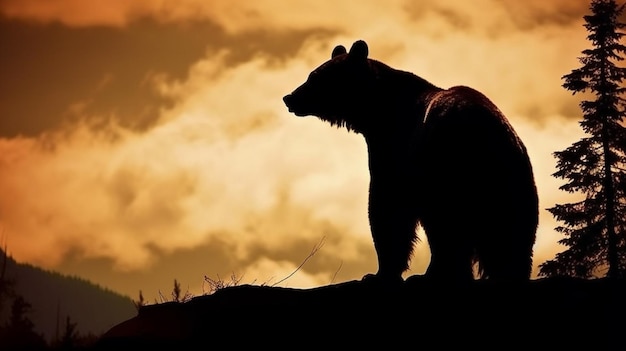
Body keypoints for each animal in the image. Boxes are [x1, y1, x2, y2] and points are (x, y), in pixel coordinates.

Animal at [282, 40, 536, 284]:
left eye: (315, 77)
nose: (289, 97)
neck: (376, 114)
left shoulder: (394, 151)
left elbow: (387, 208)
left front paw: (379, 273)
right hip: (512, 181)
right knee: (512, 236)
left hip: (449, 168)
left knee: (446, 228)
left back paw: (434, 274)